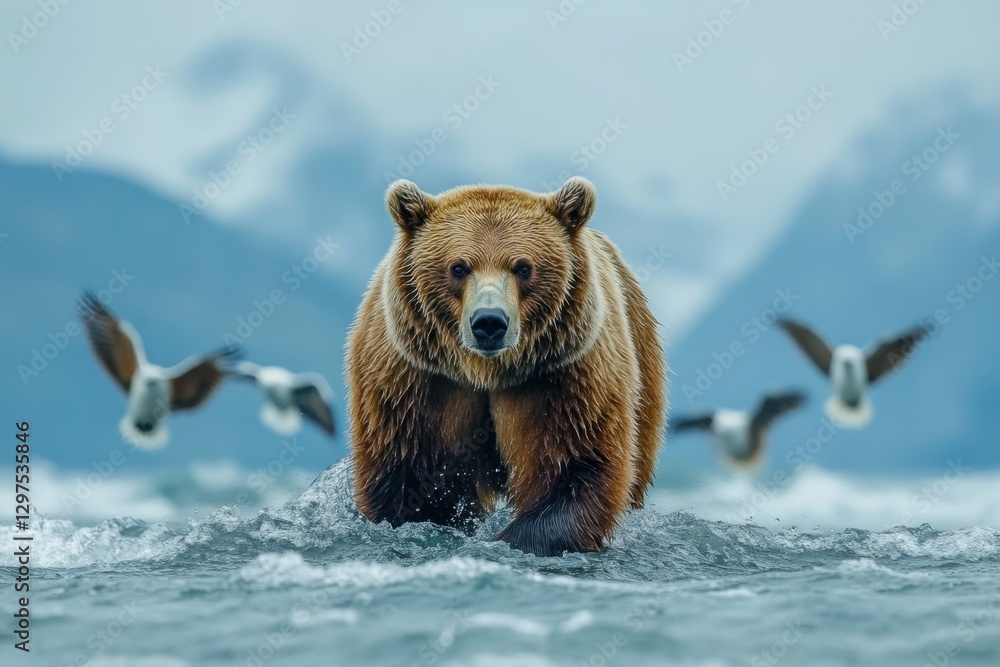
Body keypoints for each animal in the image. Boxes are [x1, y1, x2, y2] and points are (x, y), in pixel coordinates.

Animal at [346, 176, 667, 557]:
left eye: (523, 267)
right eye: (458, 267)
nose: (489, 322)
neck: (486, 372)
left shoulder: (562, 378)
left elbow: (576, 467)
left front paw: (509, 540)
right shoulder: (416, 381)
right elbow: (412, 479)